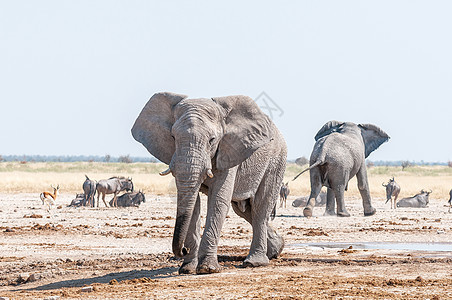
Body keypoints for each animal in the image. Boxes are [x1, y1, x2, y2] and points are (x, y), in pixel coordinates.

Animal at [131, 91, 286, 274]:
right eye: (173, 137)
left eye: (212, 140)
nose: (183, 250)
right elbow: (193, 203)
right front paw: (187, 269)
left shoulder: (228, 150)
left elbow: (218, 200)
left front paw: (207, 269)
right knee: (244, 210)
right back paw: (276, 250)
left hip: (276, 161)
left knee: (260, 207)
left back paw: (254, 262)